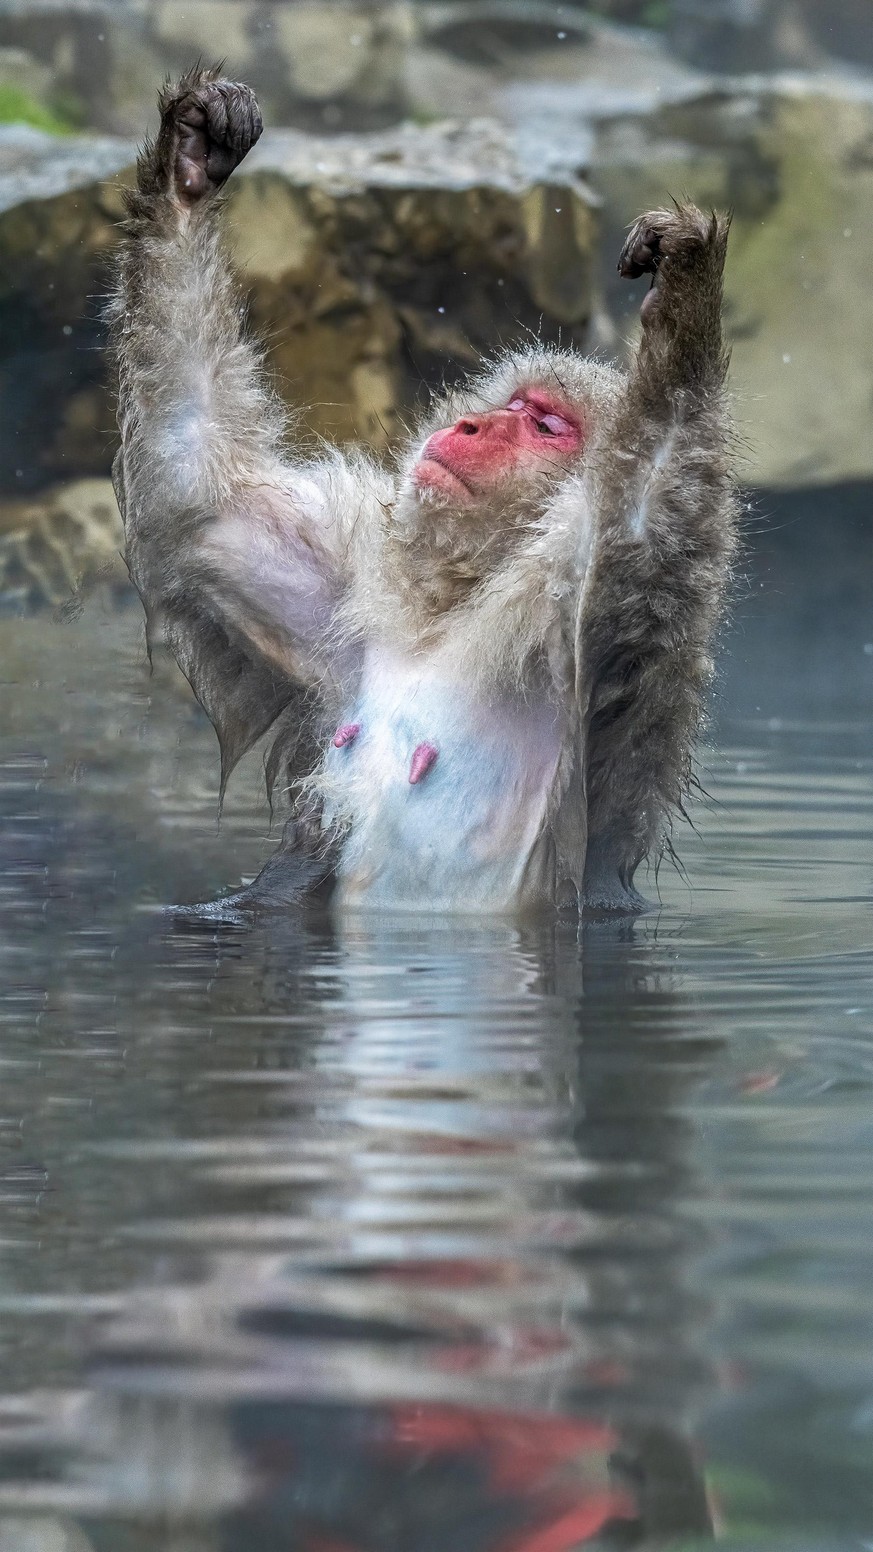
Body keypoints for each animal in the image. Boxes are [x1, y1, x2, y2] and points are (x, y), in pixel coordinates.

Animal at [107, 72, 733, 912]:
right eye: (511, 405)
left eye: (543, 424)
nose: (470, 424)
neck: (458, 608)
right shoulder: (343, 605)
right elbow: (198, 489)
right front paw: (194, 158)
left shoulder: (606, 620)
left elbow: (642, 514)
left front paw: (687, 295)